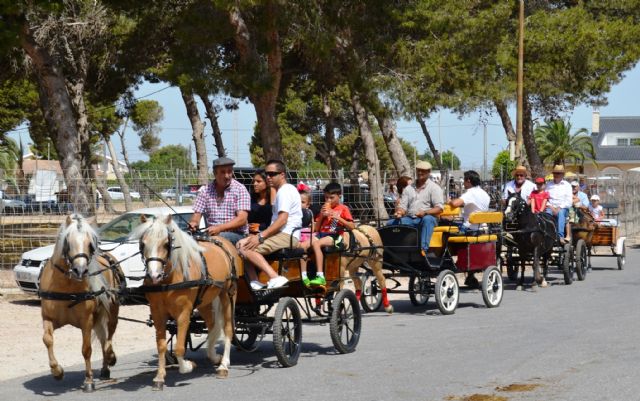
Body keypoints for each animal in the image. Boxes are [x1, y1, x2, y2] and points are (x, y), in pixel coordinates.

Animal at [38, 214, 120, 392]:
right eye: (68, 242)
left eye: (90, 244)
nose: (80, 270)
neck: (65, 286)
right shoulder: (48, 318)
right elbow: (47, 340)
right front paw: (57, 371)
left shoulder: (86, 321)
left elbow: (86, 349)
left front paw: (88, 380)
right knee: (103, 338)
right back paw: (105, 368)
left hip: (111, 310)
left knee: (109, 336)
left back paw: (110, 357)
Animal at [130, 214, 238, 390]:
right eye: (143, 244)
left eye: (166, 244)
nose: (154, 275)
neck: (169, 280)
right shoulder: (157, 313)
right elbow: (161, 345)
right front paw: (159, 377)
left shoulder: (183, 313)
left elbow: (179, 347)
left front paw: (187, 366)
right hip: (205, 301)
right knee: (213, 325)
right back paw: (213, 356)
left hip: (228, 294)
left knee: (228, 328)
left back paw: (223, 365)